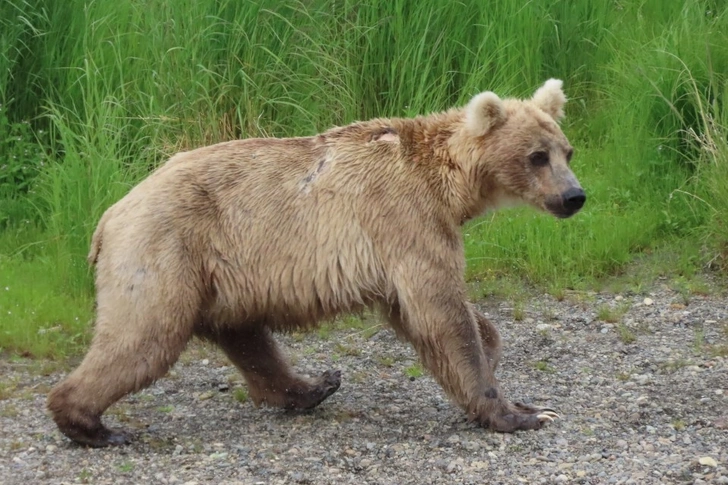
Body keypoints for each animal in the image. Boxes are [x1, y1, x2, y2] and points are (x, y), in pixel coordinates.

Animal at [47, 78, 584, 446]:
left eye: (568, 150)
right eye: (537, 156)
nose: (574, 196)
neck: (448, 186)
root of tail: (110, 215)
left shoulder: (405, 237)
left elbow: (438, 315)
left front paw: (505, 372)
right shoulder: (403, 219)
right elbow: (440, 312)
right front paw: (522, 413)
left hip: (221, 270)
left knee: (245, 336)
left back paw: (313, 386)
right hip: (166, 249)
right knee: (145, 335)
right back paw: (93, 425)